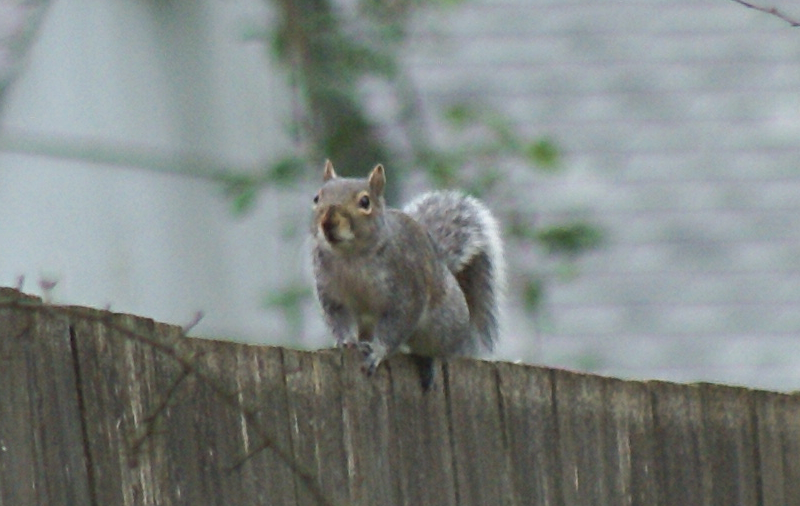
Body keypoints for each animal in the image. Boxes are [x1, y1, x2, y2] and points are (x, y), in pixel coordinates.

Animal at [311, 160, 505, 389]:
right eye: (317, 198)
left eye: (365, 202)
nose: (328, 222)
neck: (351, 256)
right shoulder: (332, 293)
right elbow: (340, 320)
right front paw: (347, 343)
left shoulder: (407, 288)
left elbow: (397, 324)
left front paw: (377, 352)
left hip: (443, 324)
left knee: (440, 349)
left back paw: (431, 360)